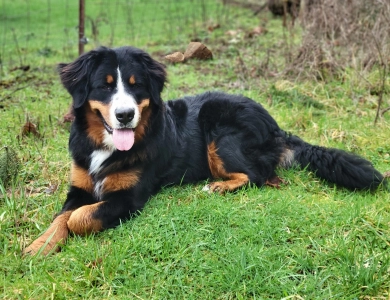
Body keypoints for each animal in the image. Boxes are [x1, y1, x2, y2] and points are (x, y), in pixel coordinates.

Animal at [23, 46, 384, 255]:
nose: (125, 115)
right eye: (105, 85)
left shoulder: (129, 198)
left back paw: (219, 186)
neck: (105, 145)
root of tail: (275, 125)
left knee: (259, 176)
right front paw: (39, 245)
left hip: (220, 132)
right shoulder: (79, 186)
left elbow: (81, 217)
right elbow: (62, 216)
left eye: (136, 86)